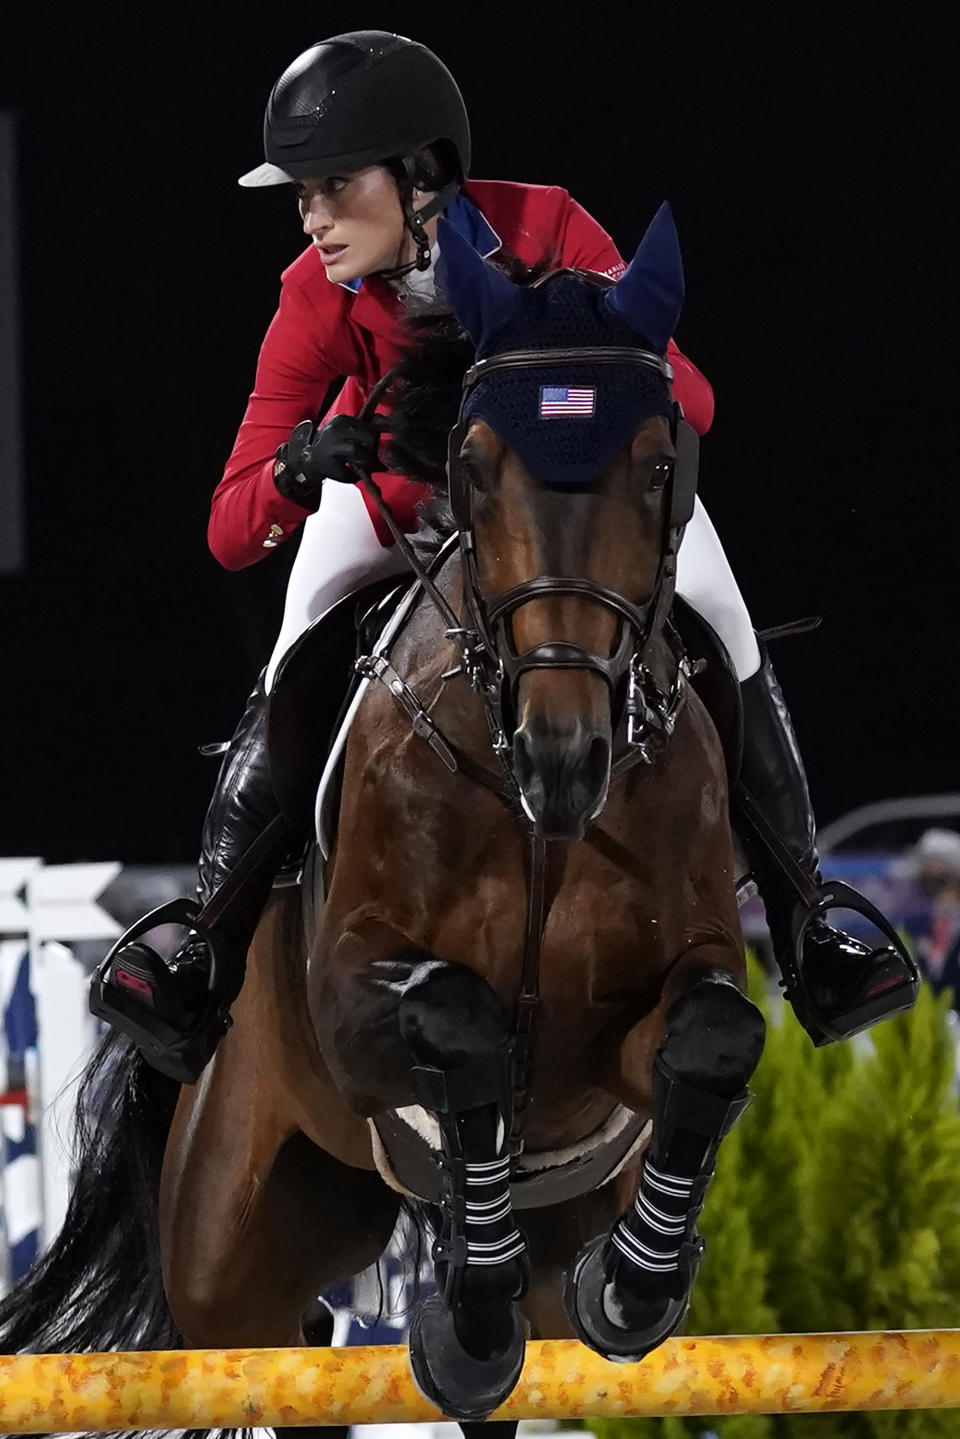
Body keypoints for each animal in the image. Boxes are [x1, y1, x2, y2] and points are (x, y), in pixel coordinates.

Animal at [0, 208, 765, 1433]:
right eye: (472, 467)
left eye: (659, 467)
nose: (563, 755)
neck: (534, 823)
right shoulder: (357, 1001)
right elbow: (453, 1019)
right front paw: (465, 1319)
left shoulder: (645, 1020)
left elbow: (711, 1035)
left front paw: (632, 1284)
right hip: (233, 1251)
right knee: (269, 1347)